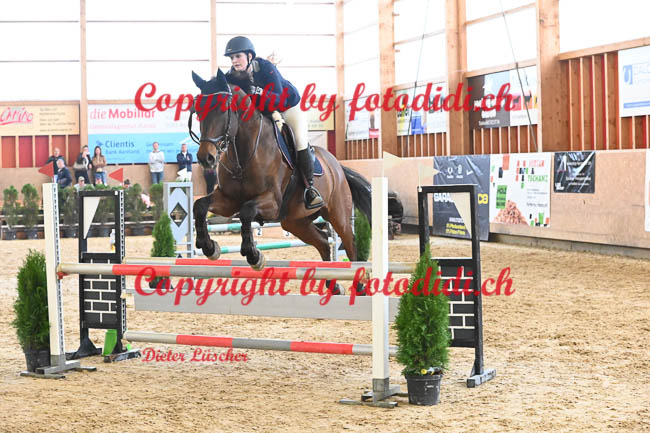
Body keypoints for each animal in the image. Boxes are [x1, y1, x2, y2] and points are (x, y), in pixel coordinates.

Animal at [190, 69, 372, 293]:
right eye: (198, 111)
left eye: (224, 110)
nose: (205, 158)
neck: (243, 155)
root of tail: (336, 166)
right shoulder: (228, 200)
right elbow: (200, 206)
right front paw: (209, 246)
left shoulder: (272, 202)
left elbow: (247, 212)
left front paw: (254, 255)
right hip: (295, 222)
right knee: (322, 242)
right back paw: (333, 284)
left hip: (338, 214)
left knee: (350, 243)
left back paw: (359, 285)